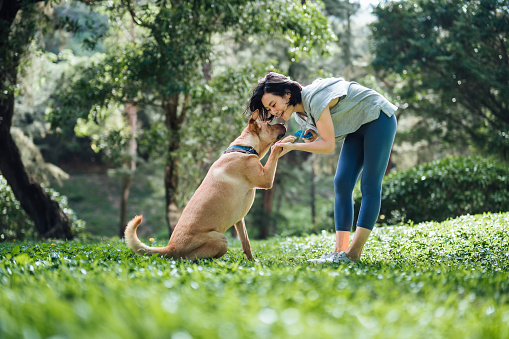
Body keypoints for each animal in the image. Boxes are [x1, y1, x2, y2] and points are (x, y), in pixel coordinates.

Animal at [124, 110, 296, 262]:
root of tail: (170, 248)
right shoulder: (266, 179)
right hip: (221, 239)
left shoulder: (240, 220)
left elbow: (246, 243)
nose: (284, 123)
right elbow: (275, 150)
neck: (243, 148)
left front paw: (252, 261)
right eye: (268, 124)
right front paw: (288, 140)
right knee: (192, 260)